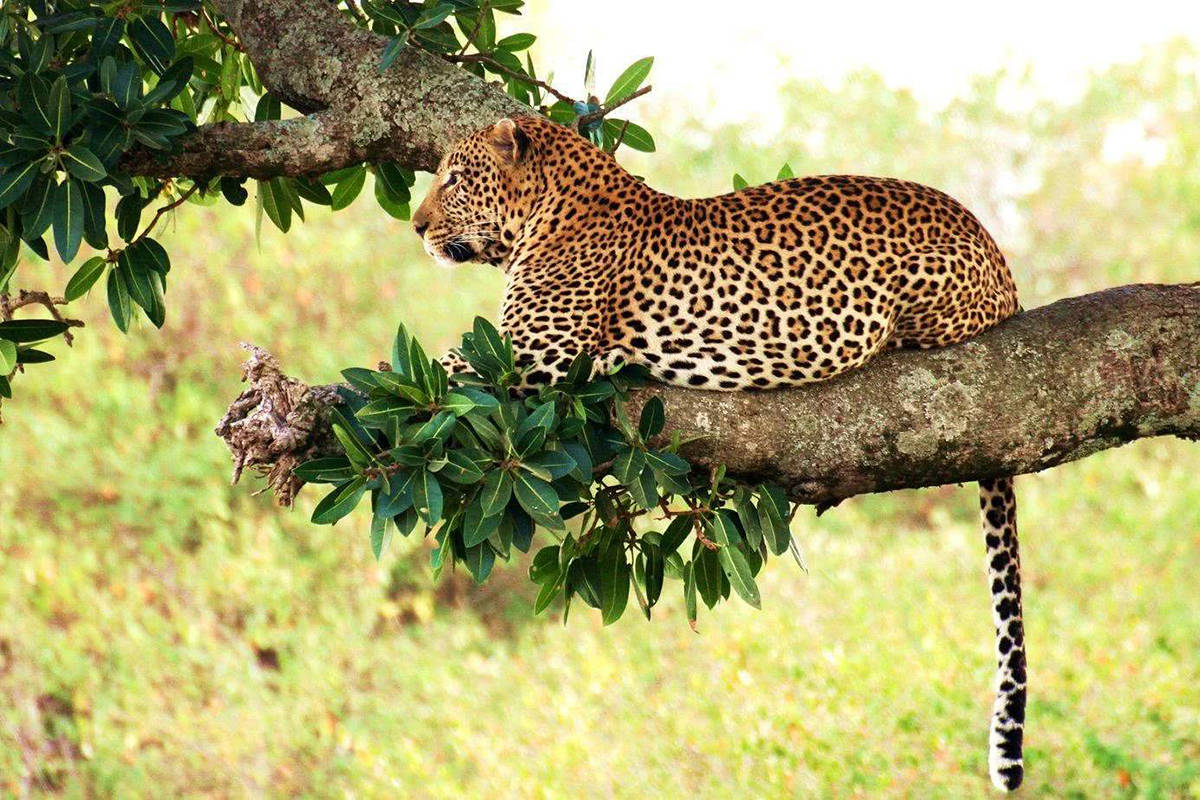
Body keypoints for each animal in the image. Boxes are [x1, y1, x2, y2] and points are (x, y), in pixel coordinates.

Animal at [410, 113, 1022, 796]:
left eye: (454, 180)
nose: (416, 226)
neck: (551, 210)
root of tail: (999, 258)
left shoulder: (535, 356)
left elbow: (436, 367)